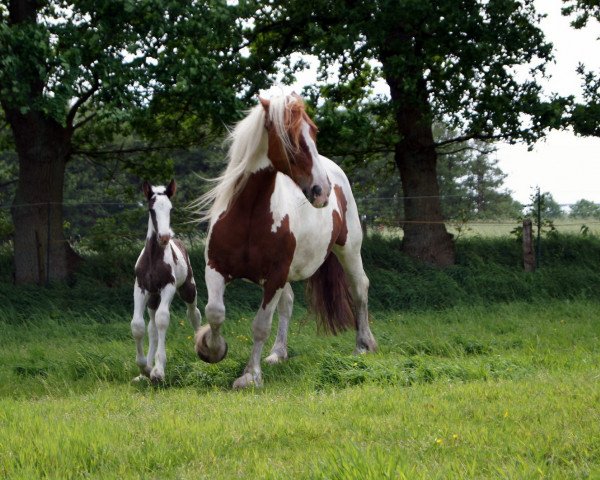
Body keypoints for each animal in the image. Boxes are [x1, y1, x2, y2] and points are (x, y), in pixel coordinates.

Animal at [131, 180, 202, 382]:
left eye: (170, 208)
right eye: (151, 209)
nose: (163, 237)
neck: (154, 257)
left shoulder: (167, 287)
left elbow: (163, 320)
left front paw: (158, 371)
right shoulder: (140, 288)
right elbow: (138, 325)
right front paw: (144, 369)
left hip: (188, 289)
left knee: (194, 315)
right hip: (153, 299)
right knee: (152, 328)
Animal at [195, 94, 378, 390]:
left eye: (313, 132)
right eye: (290, 137)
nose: (322, 190)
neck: (249, 214)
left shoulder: (275, 276)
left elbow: (260, 326)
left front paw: (250, 376)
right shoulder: (216, 268)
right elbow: (215, 312)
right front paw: (211, 349)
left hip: (348, 250)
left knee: (360, 288)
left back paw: (363, 345)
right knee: (288, 302)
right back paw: (277, 354)